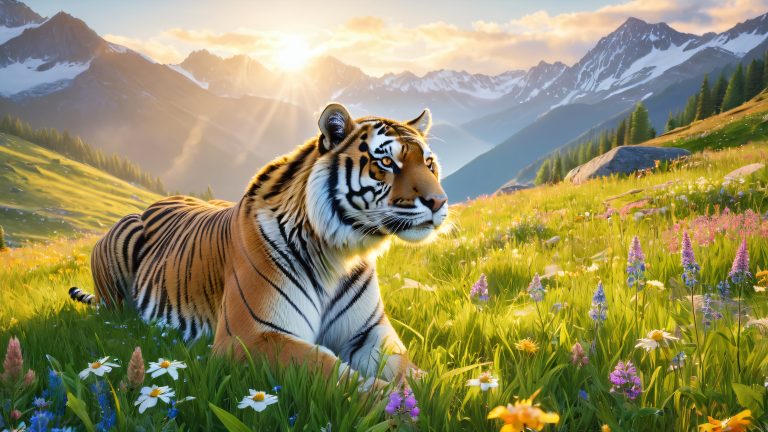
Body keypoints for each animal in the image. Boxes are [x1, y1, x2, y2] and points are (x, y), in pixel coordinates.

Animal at [69, 103, 448, 383]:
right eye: (386, 162)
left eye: (429, 163)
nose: (439, 202)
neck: (340, 253)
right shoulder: (252, 337)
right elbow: (335, 373)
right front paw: (396, 407)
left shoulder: (367, 333)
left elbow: (408, 370)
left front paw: (437, 394)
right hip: (123, 243)